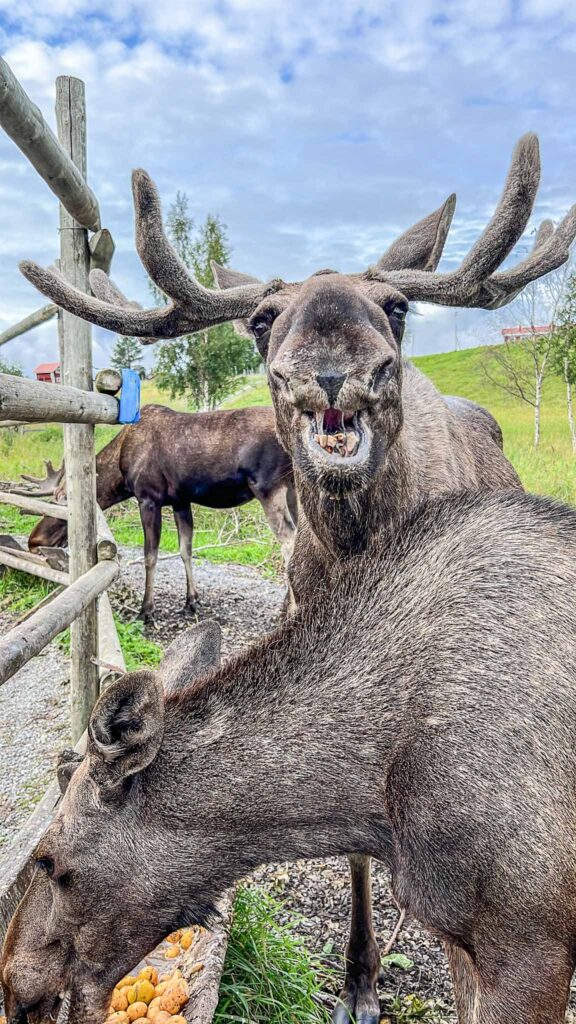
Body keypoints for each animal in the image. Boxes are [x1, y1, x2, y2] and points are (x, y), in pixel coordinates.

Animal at [26, 404, 296, 624]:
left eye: (60, 503)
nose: (33, 541)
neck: (120, 474)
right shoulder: (180, 501)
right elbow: (185, 550)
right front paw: (191, 601)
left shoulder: (149, 499)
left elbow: (150, 556)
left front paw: (146, 610)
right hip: (294, 487)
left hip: (268, 487)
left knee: (289, 541)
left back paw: (291, 610)